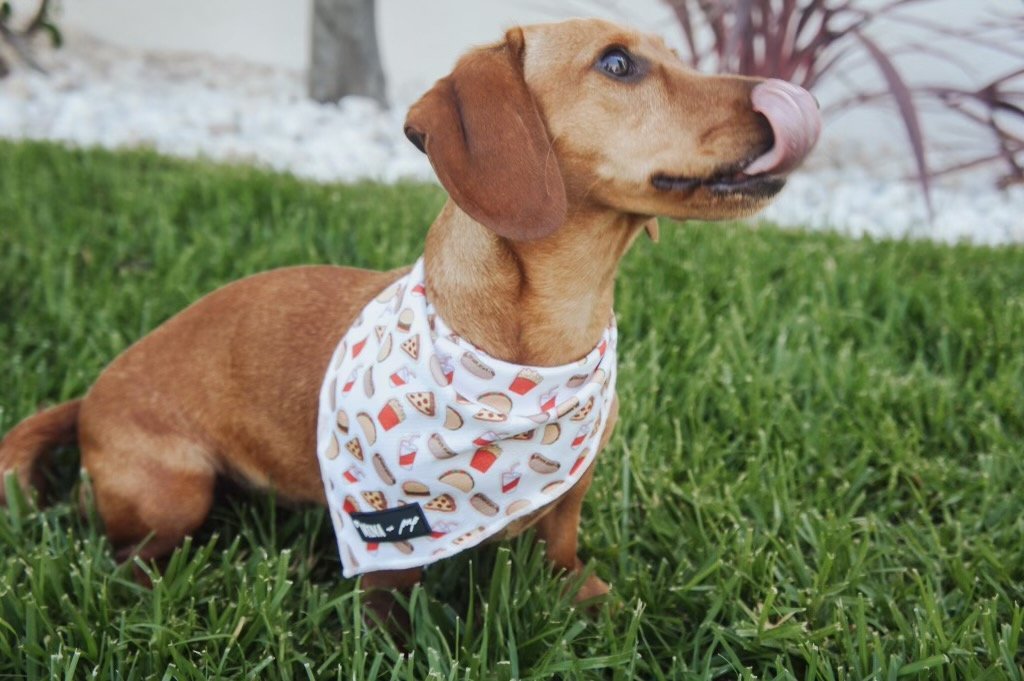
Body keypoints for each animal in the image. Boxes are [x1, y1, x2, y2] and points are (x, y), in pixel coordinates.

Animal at [0, 18, 819, 606]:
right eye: (618, 64)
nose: (794, 97)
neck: (536, 346)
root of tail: (90, 395)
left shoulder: (569, 498)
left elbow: (565, 556)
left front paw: (593, 603)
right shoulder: (387, 536)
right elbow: (392, 606)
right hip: (177, 490)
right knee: (121, 552)